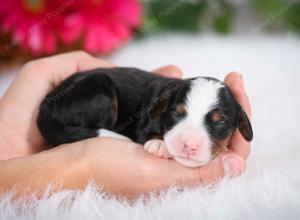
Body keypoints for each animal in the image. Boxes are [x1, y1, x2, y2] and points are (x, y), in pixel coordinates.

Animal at [37, 67, 253, 167]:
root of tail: (46, 104)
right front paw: (160, 145)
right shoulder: (143, 123)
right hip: (101, 88)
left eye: (220, 122)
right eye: (176, 113)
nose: (188, 145)